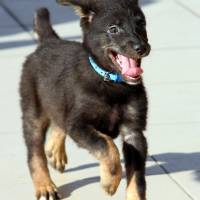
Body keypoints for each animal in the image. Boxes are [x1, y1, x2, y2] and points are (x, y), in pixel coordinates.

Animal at [19, 0, 150, 199]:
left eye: (141, 24)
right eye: (113, 29)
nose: (141, 48)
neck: (111, 83)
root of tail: (49, 41)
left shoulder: (133, 130)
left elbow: (137, 177)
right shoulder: (78, 125)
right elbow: (106, 145)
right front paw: (110, 180)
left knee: (59, 121)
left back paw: (55, 151)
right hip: (33, 110)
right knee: (35, 151)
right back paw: (45, 185)